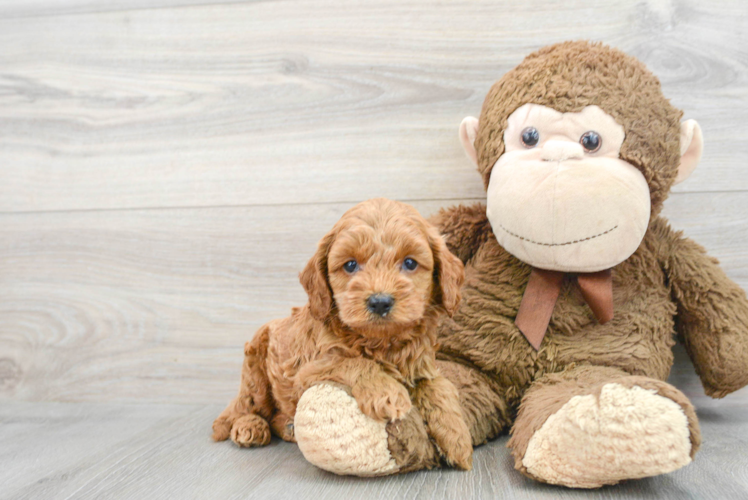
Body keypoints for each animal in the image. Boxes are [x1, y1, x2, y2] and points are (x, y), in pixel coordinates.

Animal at [210, 198, 470, 468]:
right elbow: (353, 362)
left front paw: (457, 437)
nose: (380, 302)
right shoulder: (309, 370)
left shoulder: (422, 366)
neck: (381, 342)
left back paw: (288, 426)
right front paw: (388, 393)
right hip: (256, 378)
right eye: (351, 265)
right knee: (244, 409)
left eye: (410, 263)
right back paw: (249, 427)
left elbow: (439, 386)